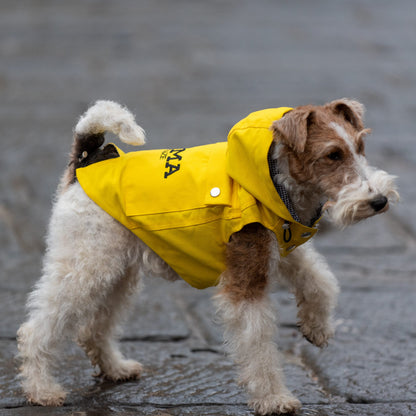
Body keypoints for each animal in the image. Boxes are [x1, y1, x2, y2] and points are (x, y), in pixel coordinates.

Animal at [17, 99, 400, 414]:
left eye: (360, 146)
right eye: (333, 154)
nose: (379, 201)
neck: (271, 182)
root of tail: (84, 164)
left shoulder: (283, 248)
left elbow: (320, 280)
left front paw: (317, 329)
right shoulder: (247, 280)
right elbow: (258, 345)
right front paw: (274, 400)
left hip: (117, 271)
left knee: (95, 327)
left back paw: (117, 368)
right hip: (86, 266)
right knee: (37, 329)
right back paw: (42, 390)